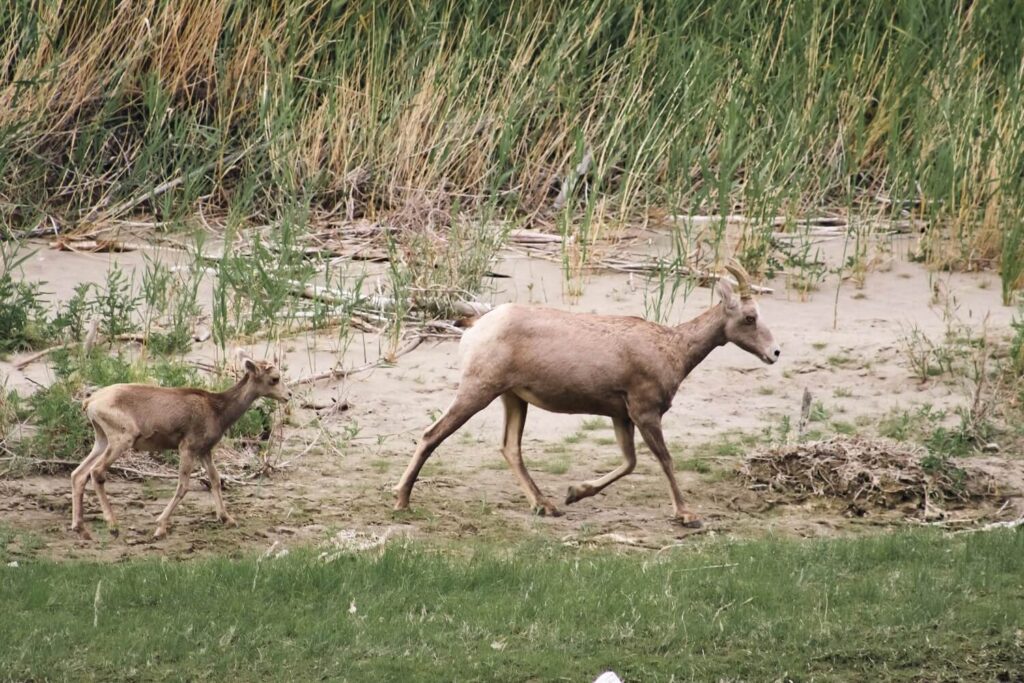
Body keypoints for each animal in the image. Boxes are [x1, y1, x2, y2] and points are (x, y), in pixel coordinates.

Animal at [70, 350, 292, 540]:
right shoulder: (187, 447)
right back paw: (113, 526)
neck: (218, 411)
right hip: (122, 439)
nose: (288, 395)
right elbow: (183, 486)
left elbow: (215, 479)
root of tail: (89, 402)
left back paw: (81, 529)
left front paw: (227, 518)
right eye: (275, 378)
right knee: (96, 472)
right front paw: (160, 526)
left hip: (101, 439)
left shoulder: (204, 450)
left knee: (78, 474)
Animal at [394, 261, 780, 526]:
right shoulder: (644, 412)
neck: (672, 349)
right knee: (431, 435)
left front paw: (574, 494)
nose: (774, 353)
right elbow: (664, 460)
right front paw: (688, 515)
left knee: (509, 447)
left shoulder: (621, 416)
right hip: (478, 390)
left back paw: (545, 505)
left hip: (512, 398)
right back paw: (401, 501)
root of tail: (476, 326)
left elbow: (629, 462)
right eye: (749, 317)